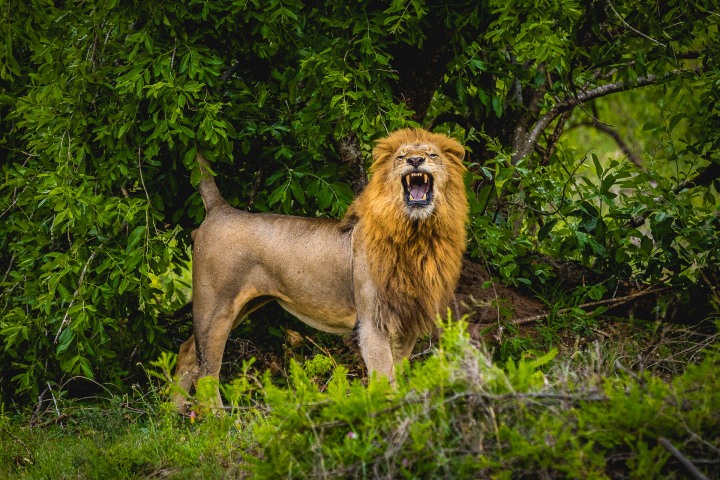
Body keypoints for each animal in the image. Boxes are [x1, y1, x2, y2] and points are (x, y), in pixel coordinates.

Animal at [173, 128, 468, 409]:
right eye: (401, 157)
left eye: (432, 155)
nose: (415, 160)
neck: (417, 235)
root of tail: (220, 210)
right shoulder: (372, 324)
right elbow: (386, 382)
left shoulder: (407, 325)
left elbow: (400, 377)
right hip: (215, 308)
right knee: (207, 374)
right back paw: (220, 421)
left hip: (243, 305)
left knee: (187, 353)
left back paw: (173, 415)